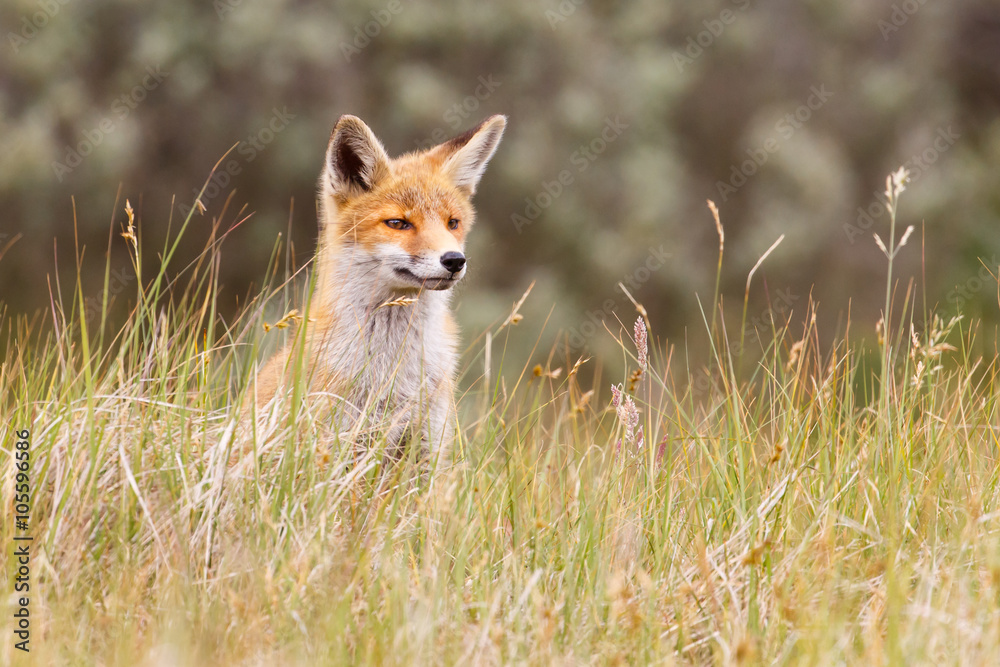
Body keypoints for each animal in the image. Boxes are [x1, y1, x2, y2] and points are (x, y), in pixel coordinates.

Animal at [254, 113, 506, 459]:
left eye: (452, 223)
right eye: (398, 223)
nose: (454, 260)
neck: (393, 372)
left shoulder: (428, 444)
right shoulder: (337, 442)